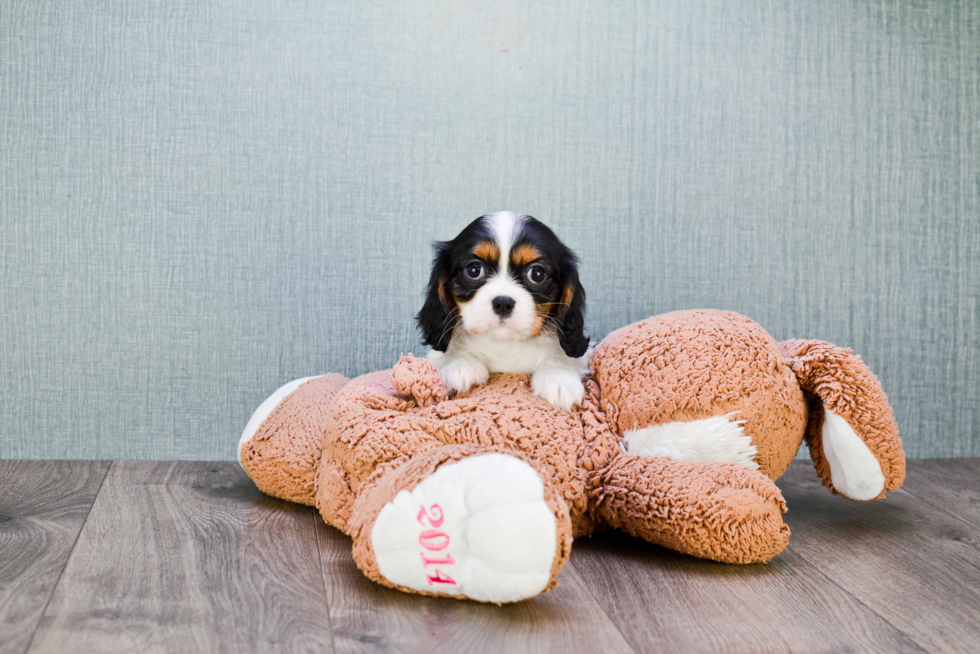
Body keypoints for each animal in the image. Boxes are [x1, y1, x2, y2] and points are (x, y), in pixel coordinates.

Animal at [416, 213, 588, 412]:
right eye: (474, 270)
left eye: (537, 274)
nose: (503, 303)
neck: (505, 343)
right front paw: (459, 363)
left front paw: (558, 376)